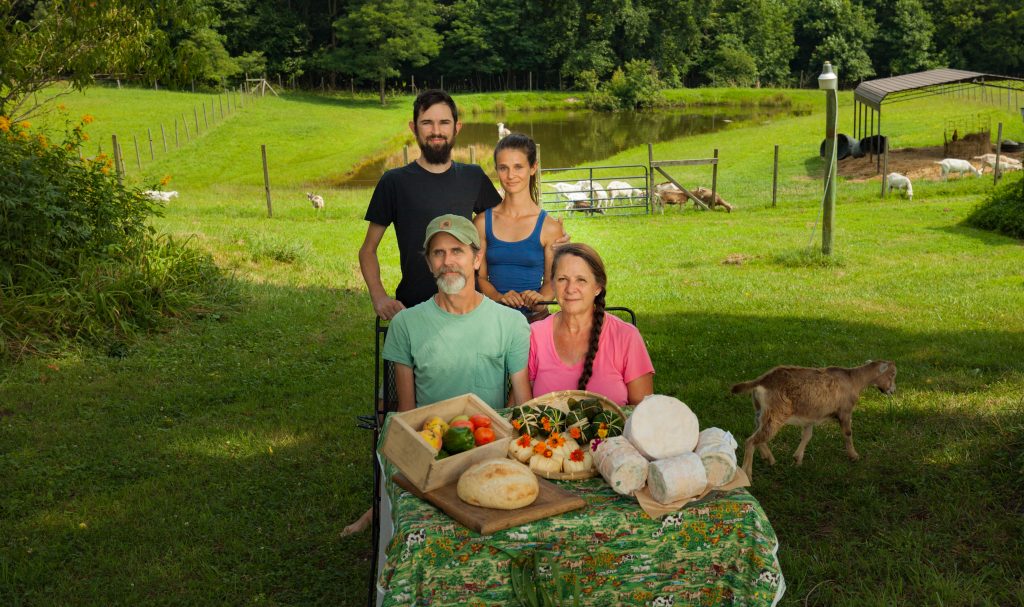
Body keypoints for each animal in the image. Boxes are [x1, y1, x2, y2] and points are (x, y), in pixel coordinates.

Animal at [729, 360, 897, 479]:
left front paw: (797, 460)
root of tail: (762, 381)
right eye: (892, 375)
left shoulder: (810, 416)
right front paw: (854, 456)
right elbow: (848, 433)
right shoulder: (845, 411)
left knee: (757, 434)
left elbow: (807, 435)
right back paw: (748, 474)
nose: (892, 391)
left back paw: (770, 459)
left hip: (761, 413)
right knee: (751, 440)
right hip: (775, 414)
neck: (853, 380)